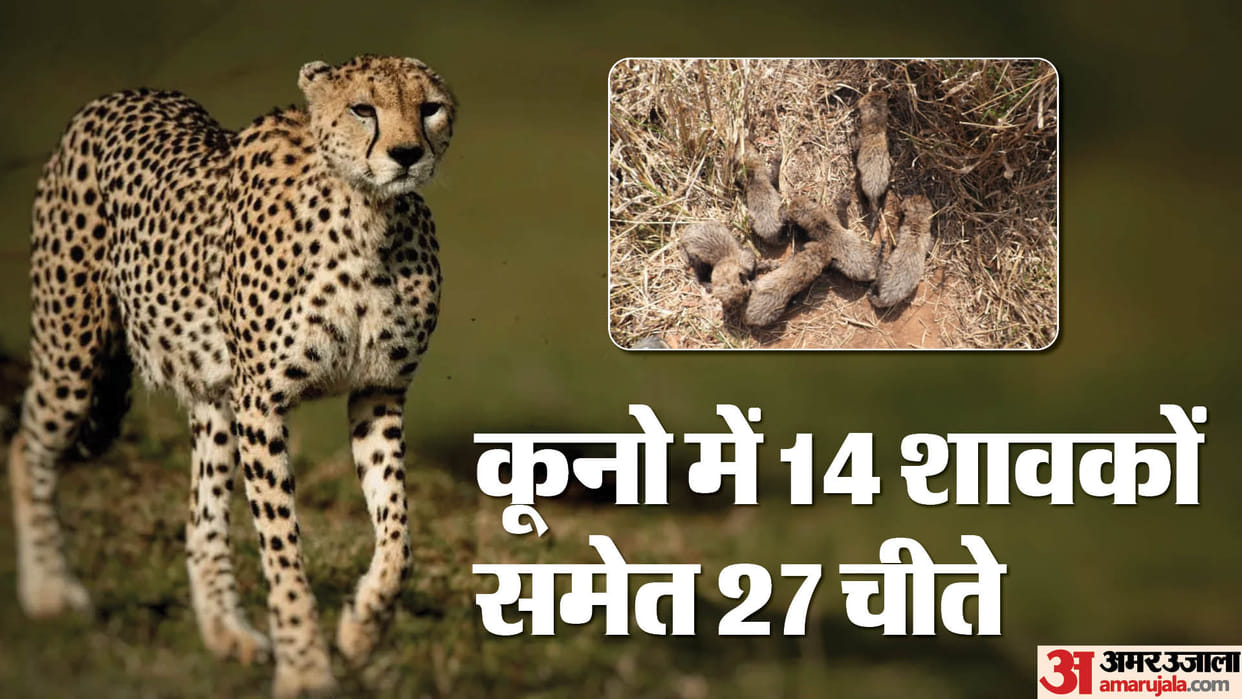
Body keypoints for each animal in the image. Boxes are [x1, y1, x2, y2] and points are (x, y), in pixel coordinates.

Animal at [7, 54, 456, 697]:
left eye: (430, 108)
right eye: (363, 109)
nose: (406, 154)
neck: (369, 218)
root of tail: (122, 95)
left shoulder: (379, 391)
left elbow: (398, 533)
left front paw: (362, 628)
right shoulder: (262, 401)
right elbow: (283, 548)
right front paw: (305, 665)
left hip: (213, 395)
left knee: (200, 520)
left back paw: (225, 633)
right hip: (73, 351)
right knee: (26, 444)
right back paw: (46, 590)